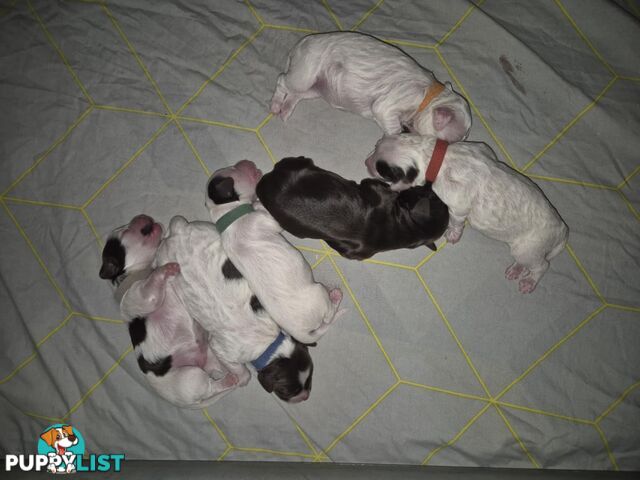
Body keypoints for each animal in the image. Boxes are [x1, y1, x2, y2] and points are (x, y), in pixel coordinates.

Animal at [99, 216, 239, 406]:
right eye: (125, 230)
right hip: (189, 377)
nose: (141, 216)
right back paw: (228, 380)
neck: (138, 272)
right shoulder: (140, 297)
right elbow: (152, 286)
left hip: (209, 358)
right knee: (210, 387)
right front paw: (165, 269)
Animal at [155, 216, 316, 404]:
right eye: (286, 391)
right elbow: (241, 370)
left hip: (206, 229)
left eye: (310, 379)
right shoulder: (222, 350)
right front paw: (241, 378)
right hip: (163, 256)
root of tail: (179, 233)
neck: (268, 342)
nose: (305, 396)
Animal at [268, 30, 470, 141]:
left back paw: (285, 111)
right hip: (305, 73)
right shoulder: (396, 101)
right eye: (453, 141)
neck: (430, 95)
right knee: (281, 80)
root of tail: (299, 44)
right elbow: (392, 126)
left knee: (294, 94)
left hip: (314, 89)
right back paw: (276, 105)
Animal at [364, 134, 568, 292]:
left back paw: (530, 282)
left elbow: (456, 221)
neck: (435, 156)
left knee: (542, 266)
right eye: (375, 145)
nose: (366, 161)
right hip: (528, 251)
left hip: (528, 248)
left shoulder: (457, 203)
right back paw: (516, 270)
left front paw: (453, 234)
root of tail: (562, 231)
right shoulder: (480, 147)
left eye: (383, 170)